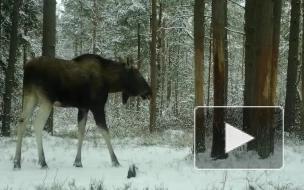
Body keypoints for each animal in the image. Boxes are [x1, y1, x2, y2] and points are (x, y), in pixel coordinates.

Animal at [13, 53, 151, 169]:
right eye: (138, 75)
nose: (149, 91)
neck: (110, 82)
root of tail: (28, 68)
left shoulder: (83, 107)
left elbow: (81, 132)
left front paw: (78, 162)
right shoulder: (97, 106)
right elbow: (105, 132)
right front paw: (115, 161)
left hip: (31, 95)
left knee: (22, 121)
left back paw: (17, 162)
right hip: (47, 99)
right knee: (37, 124)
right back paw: (42, 162)